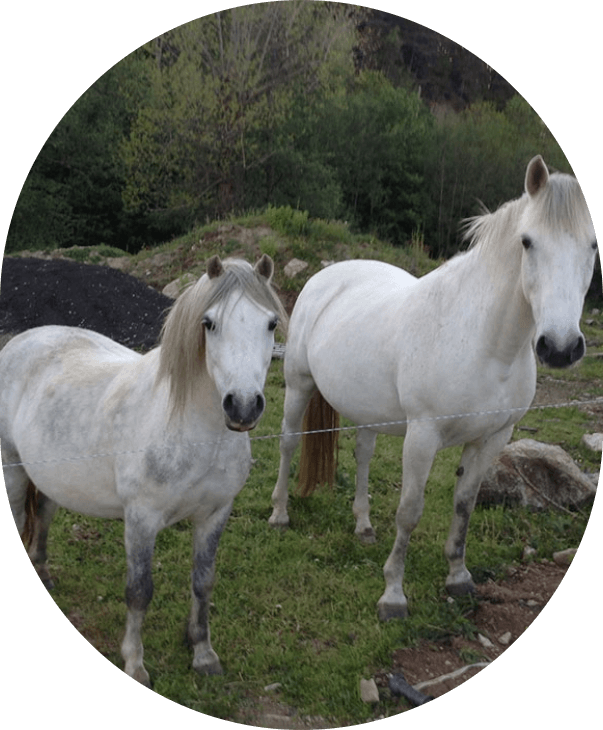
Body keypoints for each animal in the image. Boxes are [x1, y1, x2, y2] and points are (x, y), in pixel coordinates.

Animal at [0, 255, 288, 684]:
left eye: (270, 323)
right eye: (209, 323)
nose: (242, 406)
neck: (193, 431)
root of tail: (19, 341)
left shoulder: (215, 514)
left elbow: (203, 583)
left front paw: (203, 653)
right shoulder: (141, 519)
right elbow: (139, 591)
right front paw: (135, 663)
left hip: (51, 480)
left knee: (44, 518)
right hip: (15, 471)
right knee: (24, 519)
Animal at [270, 156, 600, 616]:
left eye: (592, 246)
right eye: (528, 242)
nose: (560, 347)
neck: (485, 344)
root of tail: (330, 275)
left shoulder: (493, 438)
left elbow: (464, 505)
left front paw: (458, 577)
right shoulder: (423, 435)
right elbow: (410, 511)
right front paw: (393, 594)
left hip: (367, 409)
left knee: (363, 454)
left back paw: (363, 526)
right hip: (298, 386)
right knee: (287, 442)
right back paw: (280, 514)